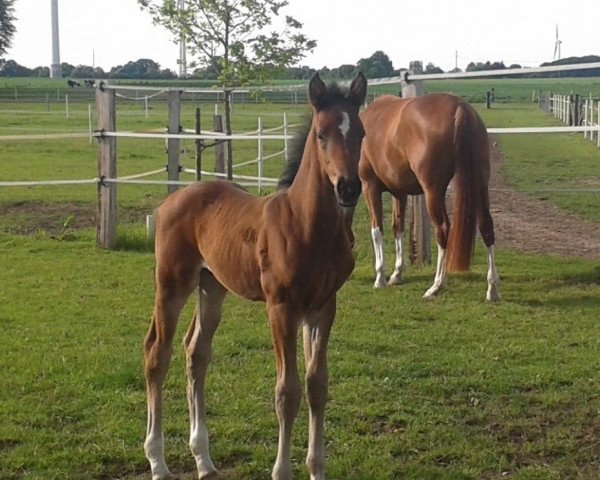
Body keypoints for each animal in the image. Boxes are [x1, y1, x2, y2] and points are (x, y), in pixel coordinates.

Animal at [143, 72, 368, 480]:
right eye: (321, 134)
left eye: (360, 132)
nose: (348, 187)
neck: (308, 226)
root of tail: (172, 199)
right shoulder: (281, 307)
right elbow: (287, 392)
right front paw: (281, 471)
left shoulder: (323, 307)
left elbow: (317, 385)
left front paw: (316, 468)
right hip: (172, 283)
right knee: (157, 352)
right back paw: (158, 462)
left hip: (211, 286)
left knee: (196, 353)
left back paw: (204, 460)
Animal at [356, 93, 496, 300]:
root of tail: (459, 107)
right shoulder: (399, 193)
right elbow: (398, 227)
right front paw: (397, 274)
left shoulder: (370, 187)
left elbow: (377, 229)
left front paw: (380, 278)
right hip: (480, 182)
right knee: (486, 226)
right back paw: (492, 289)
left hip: (433, 191)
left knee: (443, 229)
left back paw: (436, 285)